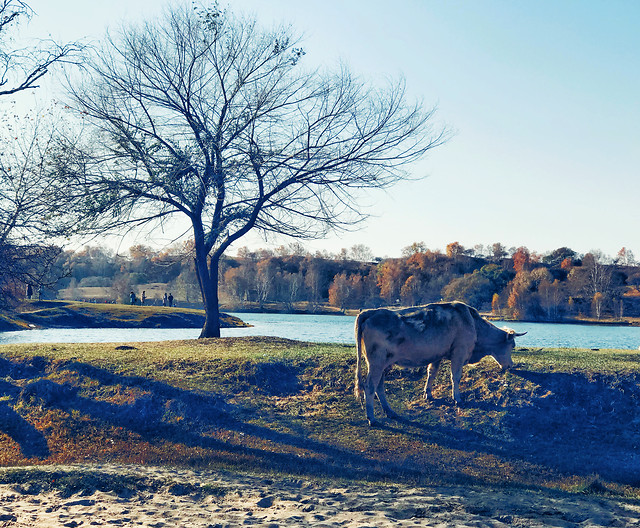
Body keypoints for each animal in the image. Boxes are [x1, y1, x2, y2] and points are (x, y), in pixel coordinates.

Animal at [356, 302, 524, 424]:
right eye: (512, 346)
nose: (511, 365)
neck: (473, 323)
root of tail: (370, 311)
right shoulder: (459, 352)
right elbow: (455, 376)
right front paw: (457, 398)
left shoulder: (437, 355)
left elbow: (431, 373)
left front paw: (428, 394)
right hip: (377, 362)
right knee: (370, 386)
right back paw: (372, 418)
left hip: (384, 363)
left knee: (379, 386)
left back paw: (390, 412)